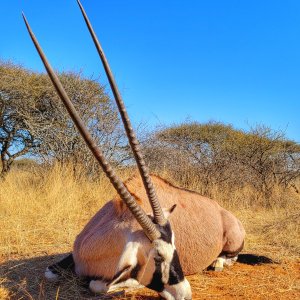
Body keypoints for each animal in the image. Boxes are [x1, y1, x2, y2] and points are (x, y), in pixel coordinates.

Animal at [22, 1, 244, 298]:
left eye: (177, 248)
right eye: (158, 256)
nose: (184, 292)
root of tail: (222, 210)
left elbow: (101, 284)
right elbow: (52, 272)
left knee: (230, 257)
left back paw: (217, 262)